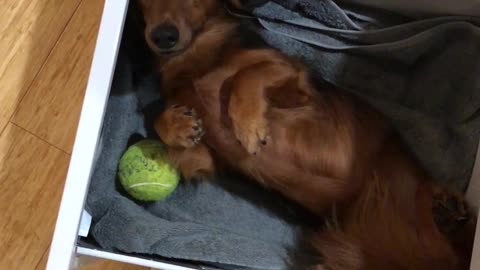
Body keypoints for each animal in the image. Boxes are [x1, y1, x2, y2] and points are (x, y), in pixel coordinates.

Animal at [137, 1, 474, 268]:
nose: (163, 36)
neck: (195, 59)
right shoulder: (203, 158)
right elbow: (167, 126)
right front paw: (177, 125)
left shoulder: (297, 87)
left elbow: (247, 75)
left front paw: (248, 124)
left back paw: (449, 211)